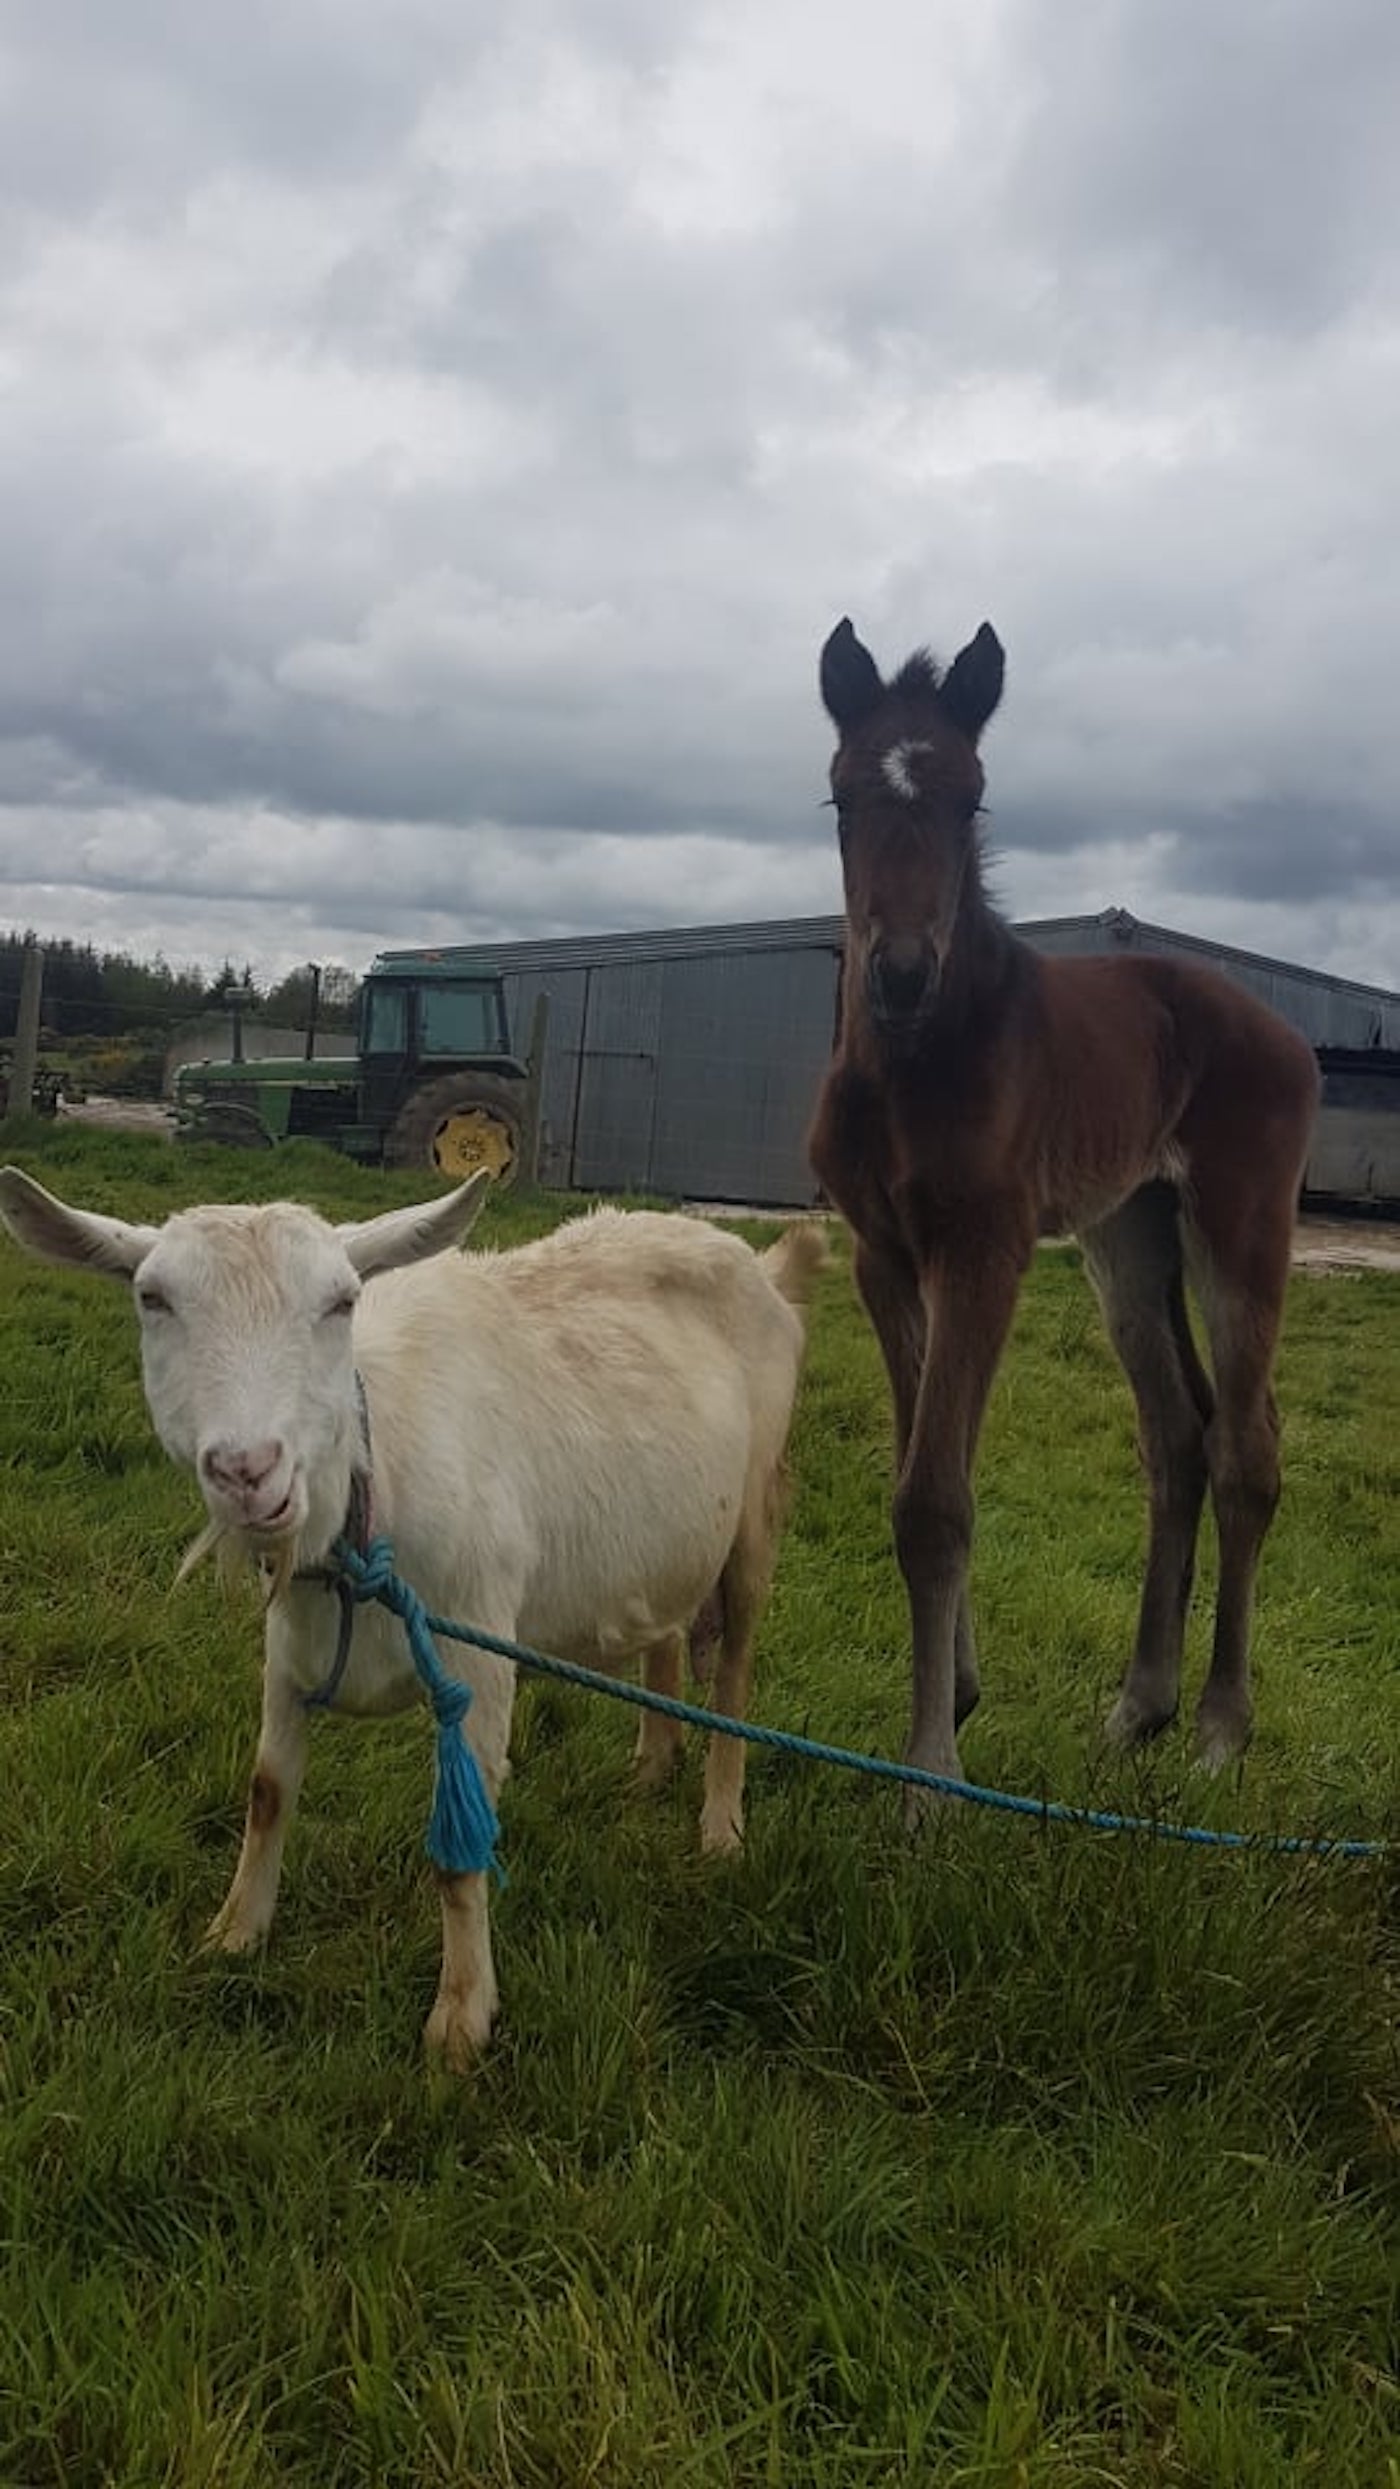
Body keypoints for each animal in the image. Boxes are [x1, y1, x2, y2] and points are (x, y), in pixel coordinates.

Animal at [0, 1168, 824, 2069]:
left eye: (341, 1301)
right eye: (152, 1297)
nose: (248, 1469)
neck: (372, 1478)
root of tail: (756, 1261)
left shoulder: (478, 1653)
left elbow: (459, 1852)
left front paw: (460, 2022)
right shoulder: (289, 1647)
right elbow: (267, 1790)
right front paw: (234, 1933)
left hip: (755, 1512)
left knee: (736, 1669)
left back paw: (720, 1827)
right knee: (666, 1630)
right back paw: (650, 1766)